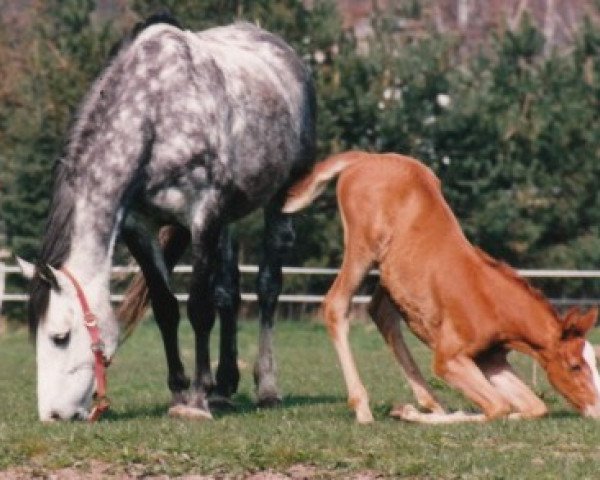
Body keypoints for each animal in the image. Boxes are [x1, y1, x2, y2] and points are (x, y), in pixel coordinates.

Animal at [20, 14, 316, 420]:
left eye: (59, 337)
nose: (53, 416)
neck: (156, 115)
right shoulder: (140, 228)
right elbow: (165, 307)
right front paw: (180, 390)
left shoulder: (203, 217)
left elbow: (199, 308)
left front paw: (197, 399)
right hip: (228, 221)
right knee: (228, 292)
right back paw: (224, 387)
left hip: (280, 201)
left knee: (268, 287)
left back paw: (266, 387)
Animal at [282, 151, 600, 424]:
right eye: (574, 365)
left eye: (594, 361)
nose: (597, 410)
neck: (491, 301)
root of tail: (367, 157)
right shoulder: (449, 358)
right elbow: (497, 407)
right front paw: (409, 413)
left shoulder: (491, 359)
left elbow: (534, 406)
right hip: (362, 249)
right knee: (337, 305)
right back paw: (364, 408)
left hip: (391, 273)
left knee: (382, 313)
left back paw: (430, 401)